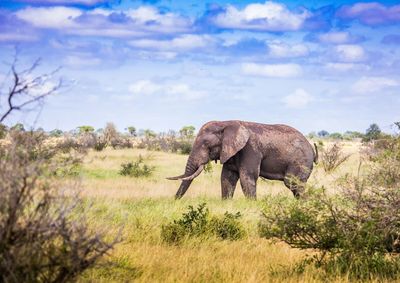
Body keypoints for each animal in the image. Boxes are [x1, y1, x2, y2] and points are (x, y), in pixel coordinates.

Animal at [167, 121, 318, 201]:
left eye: (206, 144)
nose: (174, 201)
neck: (226, 123)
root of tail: (311, 147)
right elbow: (227, 178)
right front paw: (226, 203)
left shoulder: (251, 149)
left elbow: (247, 177)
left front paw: (252, 204)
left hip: (301, 160)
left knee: (292, 183)